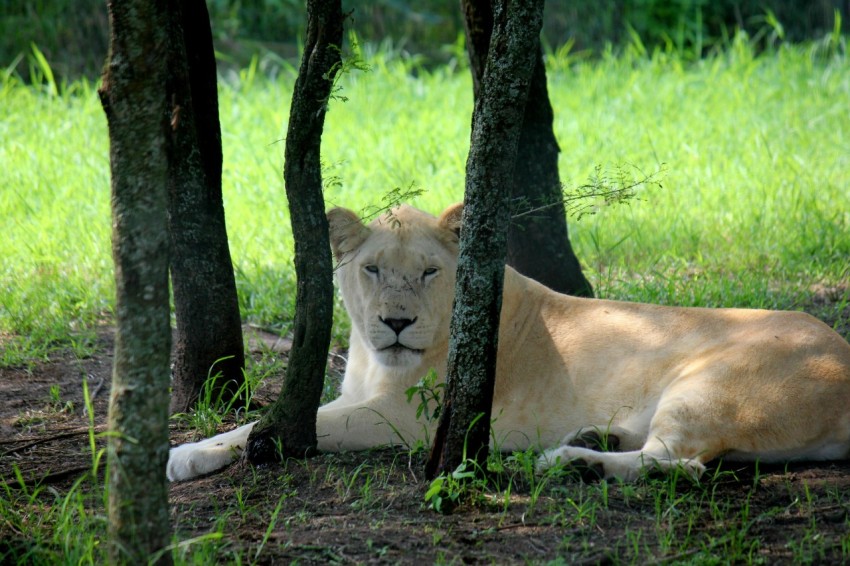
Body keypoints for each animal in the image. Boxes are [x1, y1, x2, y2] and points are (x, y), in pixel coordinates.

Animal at [167, 203, 850, 482]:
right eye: (372, 270)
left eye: (428, 273)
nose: (395, 323)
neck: (372, 359)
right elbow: (270, 420)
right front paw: (194, 453)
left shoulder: (405, 420)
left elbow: (286, 427)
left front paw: (185, 455)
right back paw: (591, 439)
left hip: (707, 386)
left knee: (677, 465)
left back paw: (571, 462)